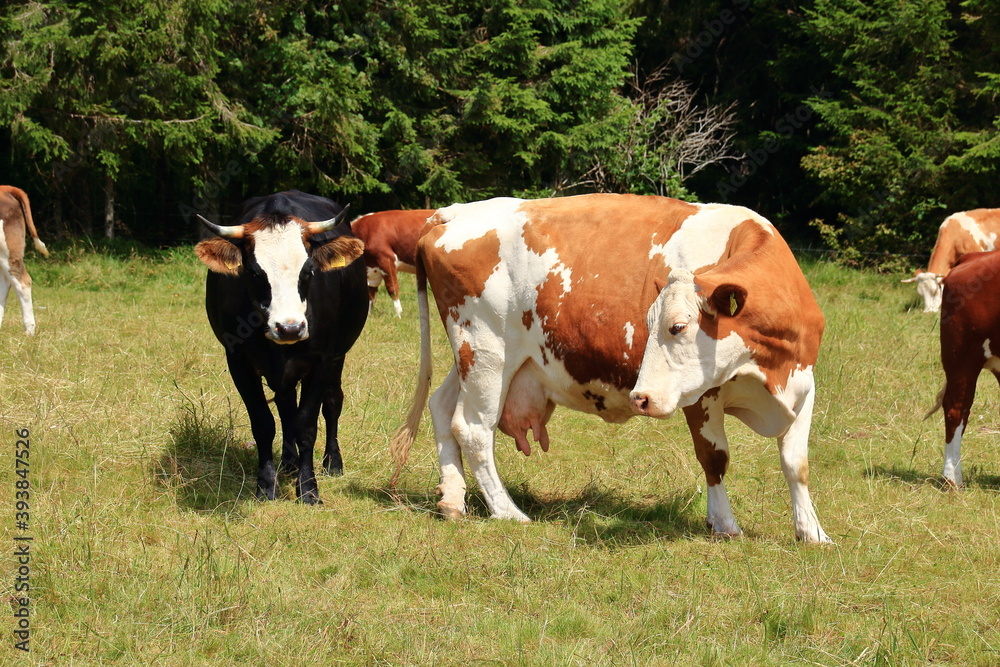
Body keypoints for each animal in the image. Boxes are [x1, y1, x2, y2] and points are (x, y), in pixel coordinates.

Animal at [193, 190, 370, 504]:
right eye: (253, 273)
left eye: (308, 270)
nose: (289, 328)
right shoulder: (238, 361)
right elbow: (264, 423)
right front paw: (266, 485)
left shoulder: (322, 360)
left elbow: (307, 424)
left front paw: (308, 488)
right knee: (287, 407)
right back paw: (288, 463)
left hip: (339, 356)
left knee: (332, 402)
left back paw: (332, 462)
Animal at [390, 193, 828, 544]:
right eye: (653, 323)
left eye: (677, 326)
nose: (641, 397)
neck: (769, 369)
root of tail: (455, 210)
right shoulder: (702, 395)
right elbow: (715, 457)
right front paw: (725, 525)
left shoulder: (803, 385)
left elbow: (797, 464)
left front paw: (812, 532)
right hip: (485, 353)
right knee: (473, 427)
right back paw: (508, 511)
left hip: (475, 360)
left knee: (442, 407)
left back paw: (452, 499)